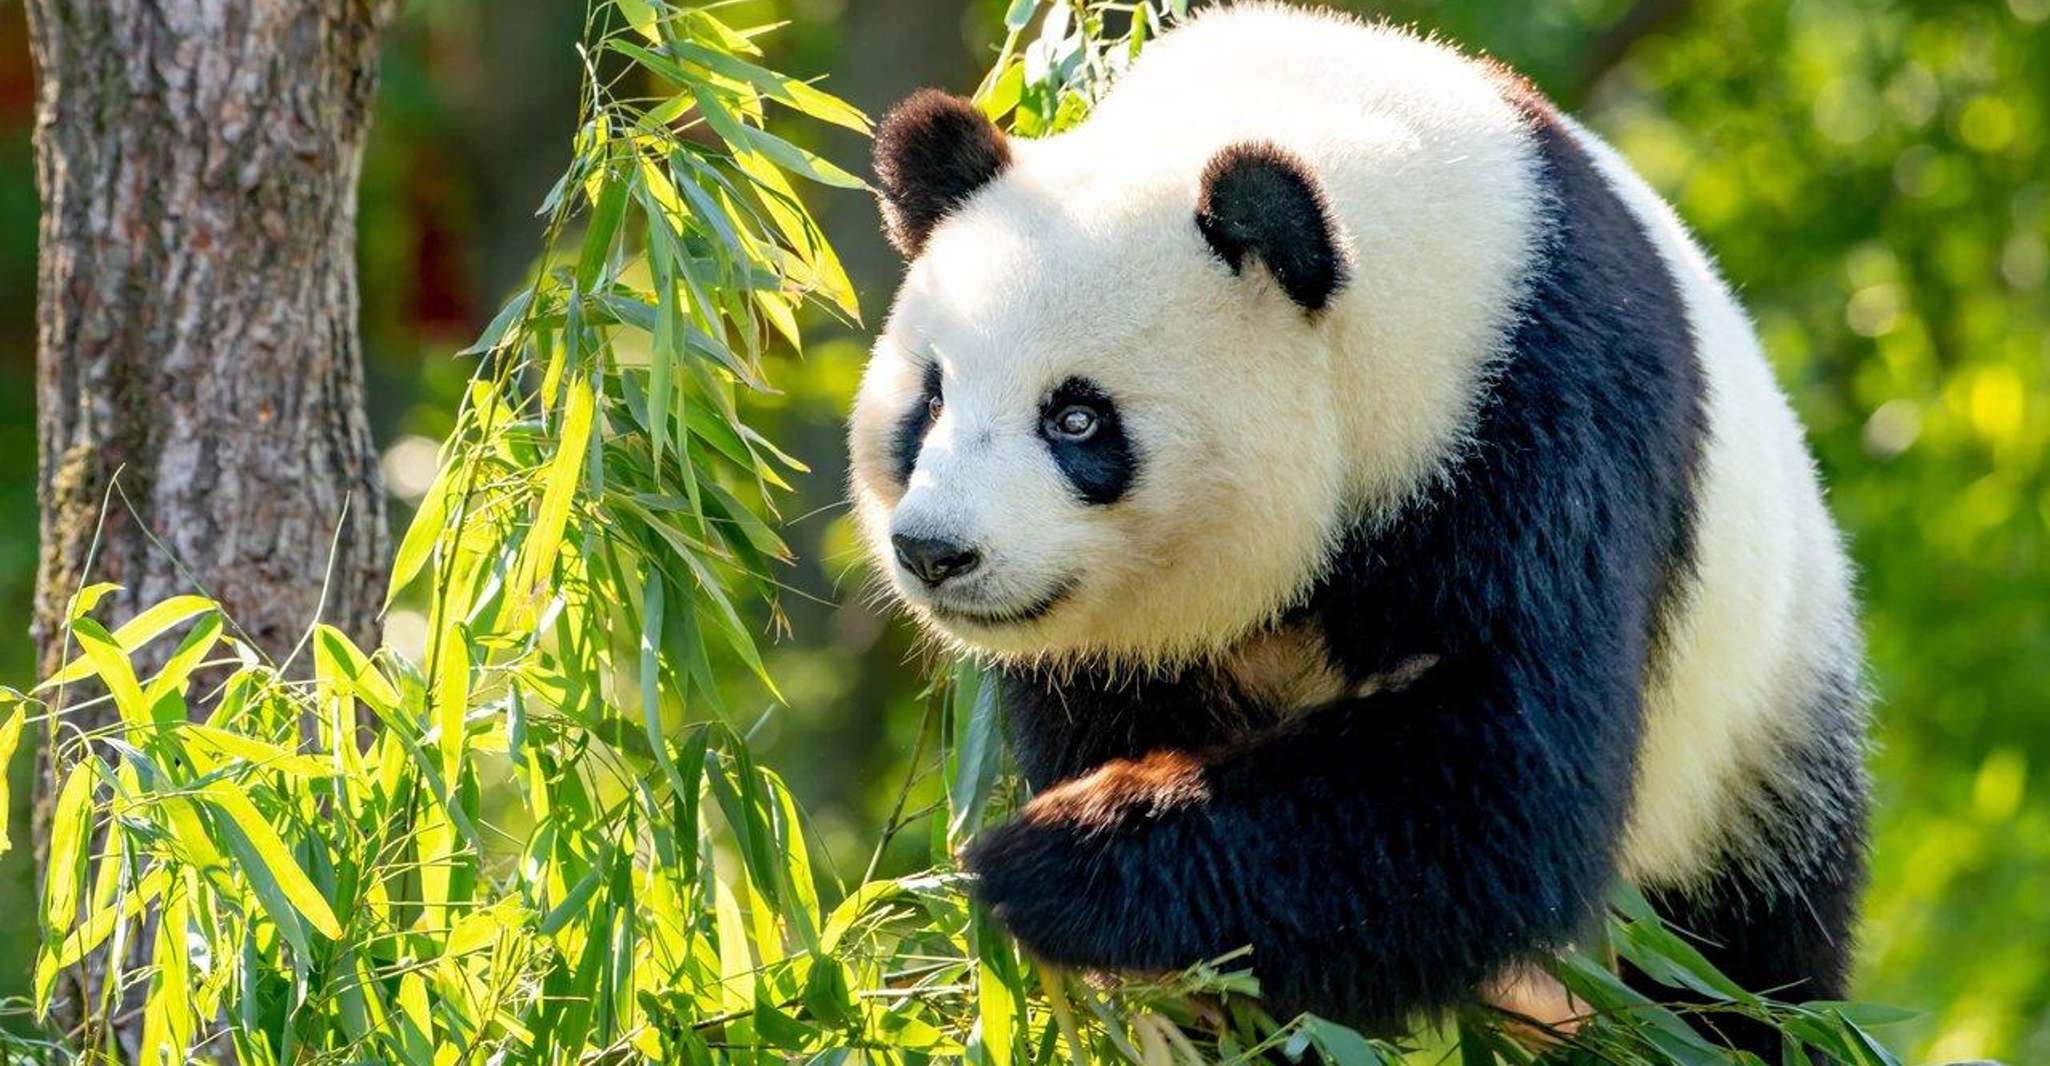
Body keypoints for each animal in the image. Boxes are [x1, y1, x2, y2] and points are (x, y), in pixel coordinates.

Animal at [847, 3, 1869, 1055]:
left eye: (1078, 418)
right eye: (931, 399)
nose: (935, 551)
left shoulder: (1537, 420)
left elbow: (1485, 787)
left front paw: (1058, 858)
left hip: (1748, 735)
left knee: (1741, 963)